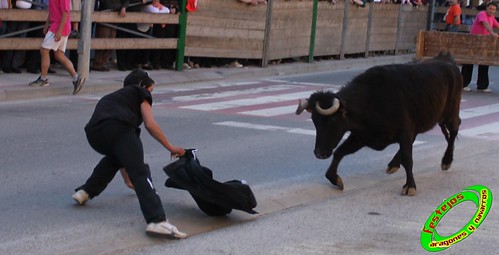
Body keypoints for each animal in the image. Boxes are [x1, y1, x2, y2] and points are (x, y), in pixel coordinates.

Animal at [294, 51, 462, 195]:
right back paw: (394, 164)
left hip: (450, 113)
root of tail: (447, 59)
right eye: (314, 121)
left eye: (332, 120)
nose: (319, 153)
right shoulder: (361, 137)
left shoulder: (404, 132)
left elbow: (408, 159)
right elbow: (340, 152)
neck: (372, 100)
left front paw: (410, 186)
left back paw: (446, 161)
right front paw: (335, 179)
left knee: (455, 129)